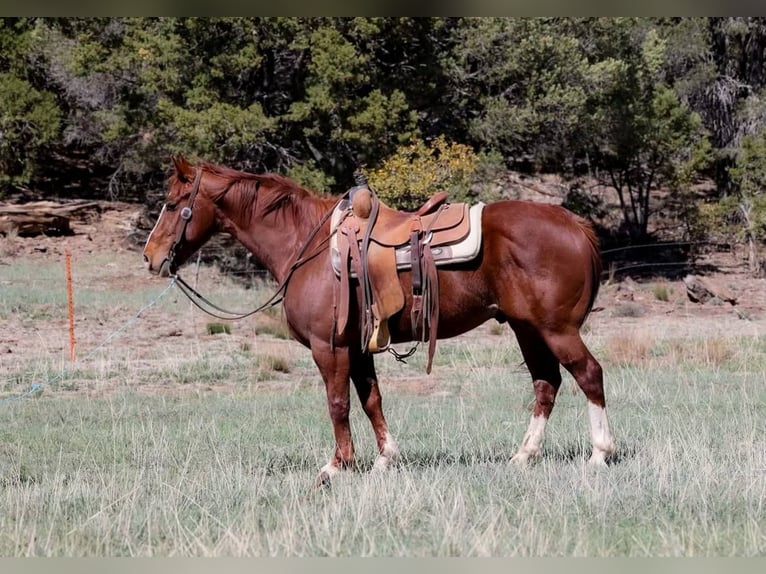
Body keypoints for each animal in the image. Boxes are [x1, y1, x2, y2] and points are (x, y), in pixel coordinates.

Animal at [143, 155, 615, 485]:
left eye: (171, 204)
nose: (150, 257)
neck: (307, 245)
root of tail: (575, 224)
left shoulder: (329, 347)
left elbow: (338, 404)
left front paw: (336, 467)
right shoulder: (358, 348)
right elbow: (371, 400)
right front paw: (385, 460)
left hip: (556, 329)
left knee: (589, 374)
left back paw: (600, 454)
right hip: (527, 329)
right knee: (546, 384)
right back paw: (523, 456)